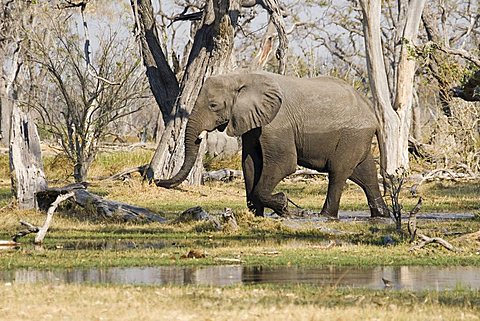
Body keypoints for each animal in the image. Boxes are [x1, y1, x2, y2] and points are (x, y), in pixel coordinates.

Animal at [158, 71, 390, 218]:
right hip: (357, 138)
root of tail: (373, 114)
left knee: (338, 173)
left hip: (352, 136)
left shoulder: (277, 124)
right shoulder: (252, 123)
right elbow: (250, 164)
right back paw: (382, 215)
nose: (157, 180)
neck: (242, 77)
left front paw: (285, 206)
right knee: (365, 174)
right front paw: (257, 214)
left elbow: (283, 164)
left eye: (213, 105)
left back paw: (326, 216)